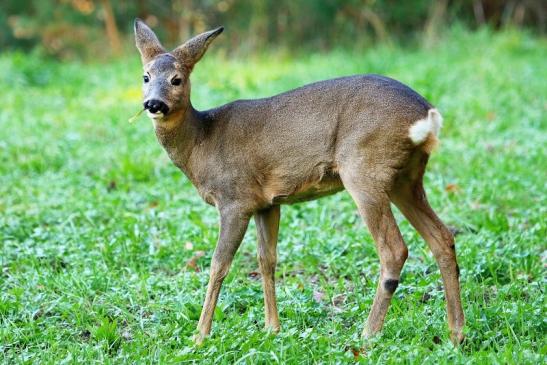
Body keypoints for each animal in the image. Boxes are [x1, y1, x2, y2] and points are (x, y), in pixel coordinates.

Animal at [134, 19, 466, 344]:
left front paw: (200, 336)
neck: (201, 142)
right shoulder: (266, 203)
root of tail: (427, 116)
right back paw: (456, 333)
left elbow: (219, 265)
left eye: (177, 79)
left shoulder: (234, 199)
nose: (154, 104)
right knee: (442, 237)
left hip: (364, 169)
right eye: (146, 76)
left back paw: (368, 334)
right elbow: (267, 260)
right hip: (405, 178)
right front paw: (272, 327)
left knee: (395, 249)